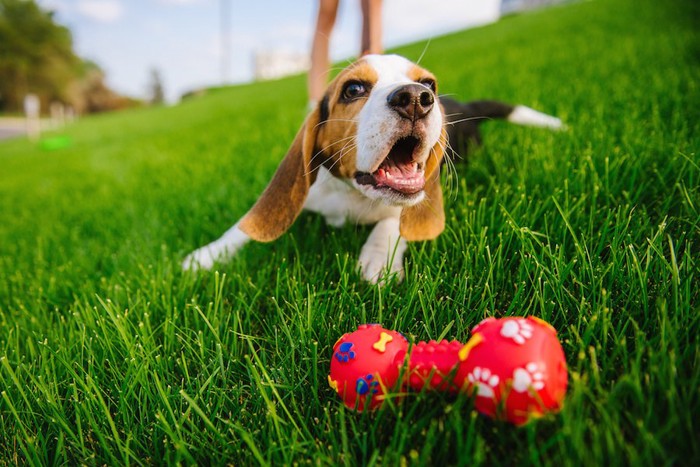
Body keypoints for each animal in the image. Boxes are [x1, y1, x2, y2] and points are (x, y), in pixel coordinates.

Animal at [182, 54, 564, 282]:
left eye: (428, 84)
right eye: (353, 89)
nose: (416, 98)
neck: (351, 193)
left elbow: (393, 218)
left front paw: (378, 258)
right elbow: (240, 229)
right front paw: (207, 255)